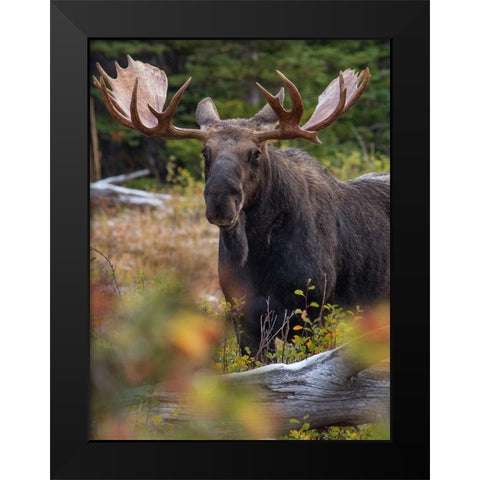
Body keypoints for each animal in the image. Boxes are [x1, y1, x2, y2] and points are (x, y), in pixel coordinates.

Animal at [94, 55, 390, 356]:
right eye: (205, 152)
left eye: (255, 153)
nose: (220, 202)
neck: (260, 257)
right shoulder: (244, 318)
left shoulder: (312, 312)